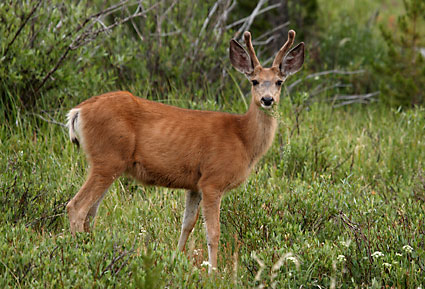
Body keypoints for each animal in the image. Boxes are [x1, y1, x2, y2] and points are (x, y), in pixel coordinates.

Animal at [66, 29, 304, 270]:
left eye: (279, 82)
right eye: (254, 81)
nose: (267, 99)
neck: (243, 138)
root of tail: (79, 111)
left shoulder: (195, 185)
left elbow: (187, 224)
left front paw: (175, 259)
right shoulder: (212, 180)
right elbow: (213, 232)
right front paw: (214, 271)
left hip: (109, 164)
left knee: (91, 213)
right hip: (108, 158)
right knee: (76, 207)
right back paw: (79, 256)